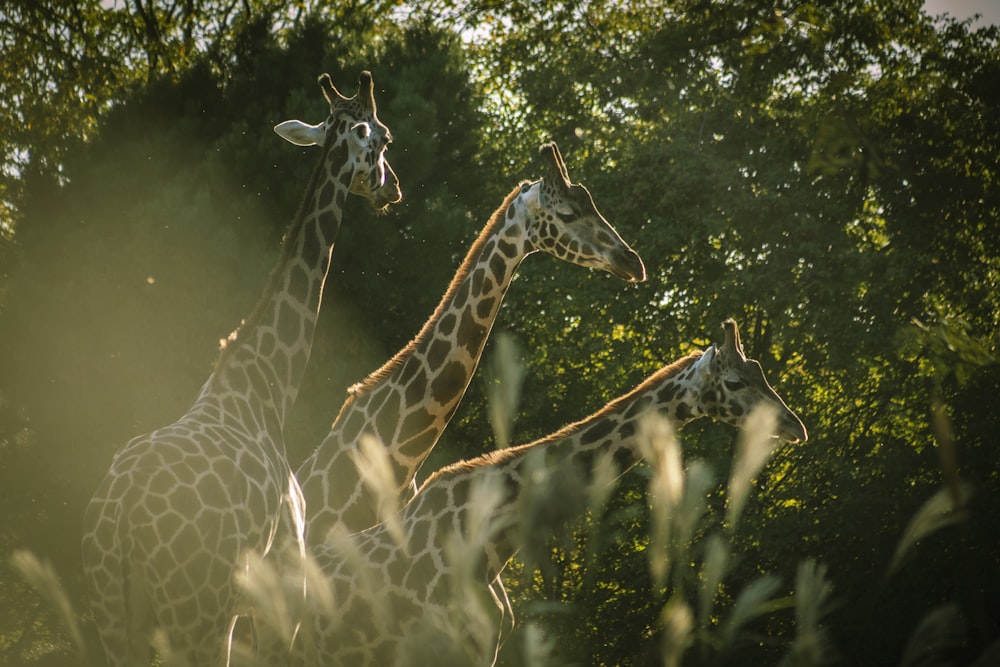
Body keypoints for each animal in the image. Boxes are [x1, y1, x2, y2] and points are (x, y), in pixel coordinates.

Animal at [83, 70, 402, 664]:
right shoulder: (284, 595)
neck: (270, 382)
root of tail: (118, 518)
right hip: (197, 618)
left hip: (117, 621)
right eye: (384, 138)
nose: (392, 188)